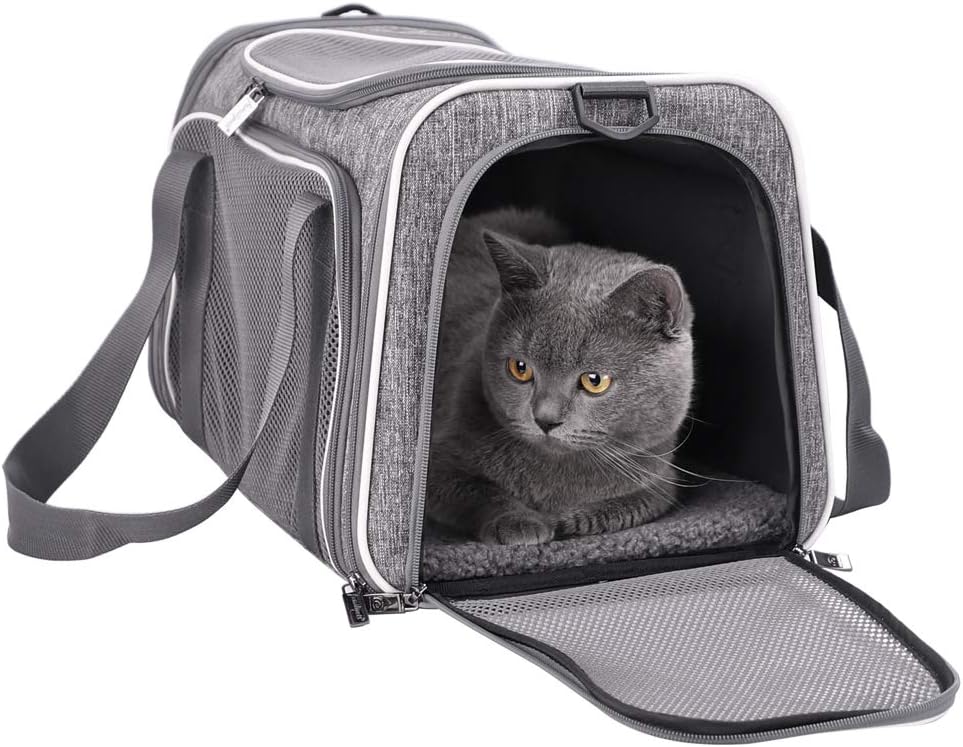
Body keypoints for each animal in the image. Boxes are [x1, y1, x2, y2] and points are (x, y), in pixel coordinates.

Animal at [426, 207, 694, 545]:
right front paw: (520, 522)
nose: (545, 419)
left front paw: (567, 519)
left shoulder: (660, 481)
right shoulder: (437, 462)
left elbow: (632, 504)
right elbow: (474, 489)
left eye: (595, 380)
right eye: (520, 368)